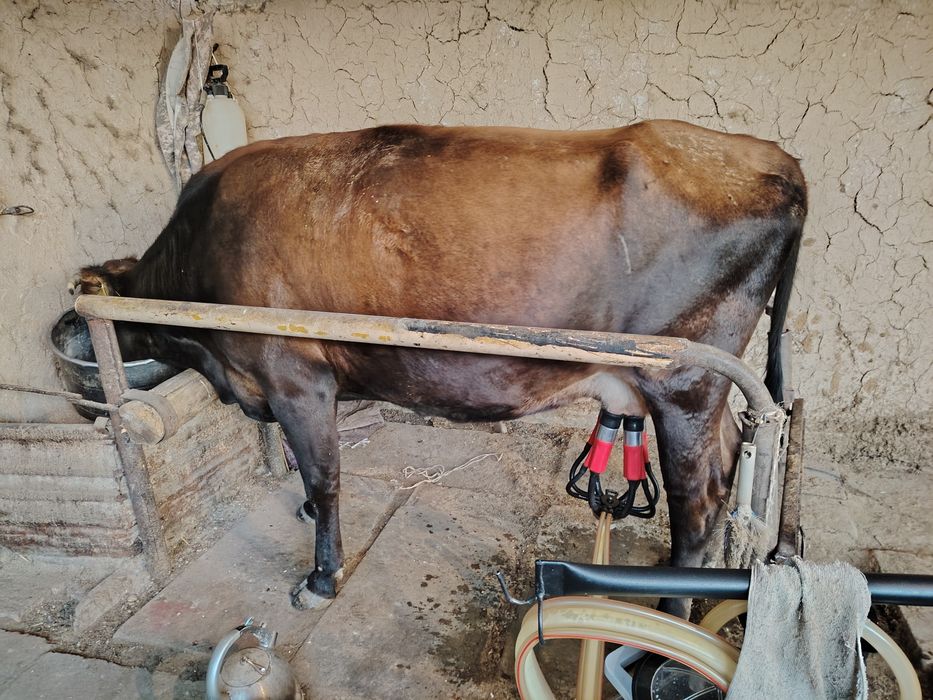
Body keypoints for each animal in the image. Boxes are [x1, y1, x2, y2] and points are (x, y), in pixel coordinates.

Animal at [75, 120, 805, 616]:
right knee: (730, 461)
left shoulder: (295, 377)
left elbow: (325, 476)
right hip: (700, 389)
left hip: (685, 381)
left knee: (698, 497)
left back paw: (672, 610)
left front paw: (320, 577)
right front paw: (305, 516)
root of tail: (774, 158)